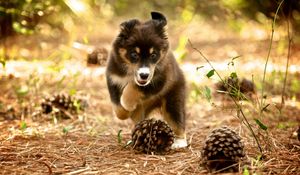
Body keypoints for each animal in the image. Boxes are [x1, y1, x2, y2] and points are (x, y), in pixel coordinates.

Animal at [104, 11, 186, 148]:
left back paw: (179, 142)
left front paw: (128, 104)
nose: (144, 75)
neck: (130, 73)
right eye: (134, 54)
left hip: (173, 101)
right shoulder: (113, 79)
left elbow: (134, 88)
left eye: (153, 55)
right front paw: (126, 112)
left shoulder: (160, 80)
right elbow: (118, 107)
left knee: (177, 122)